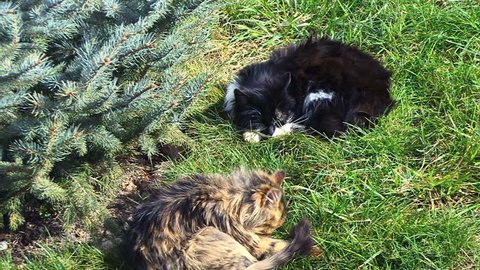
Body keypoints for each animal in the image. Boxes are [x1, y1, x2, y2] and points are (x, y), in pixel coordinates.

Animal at [126, 170, 318, 268]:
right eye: (270, 226)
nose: (273, 231)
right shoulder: (251, 240)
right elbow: (278, 244)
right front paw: (315, 249)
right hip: (209, 235)